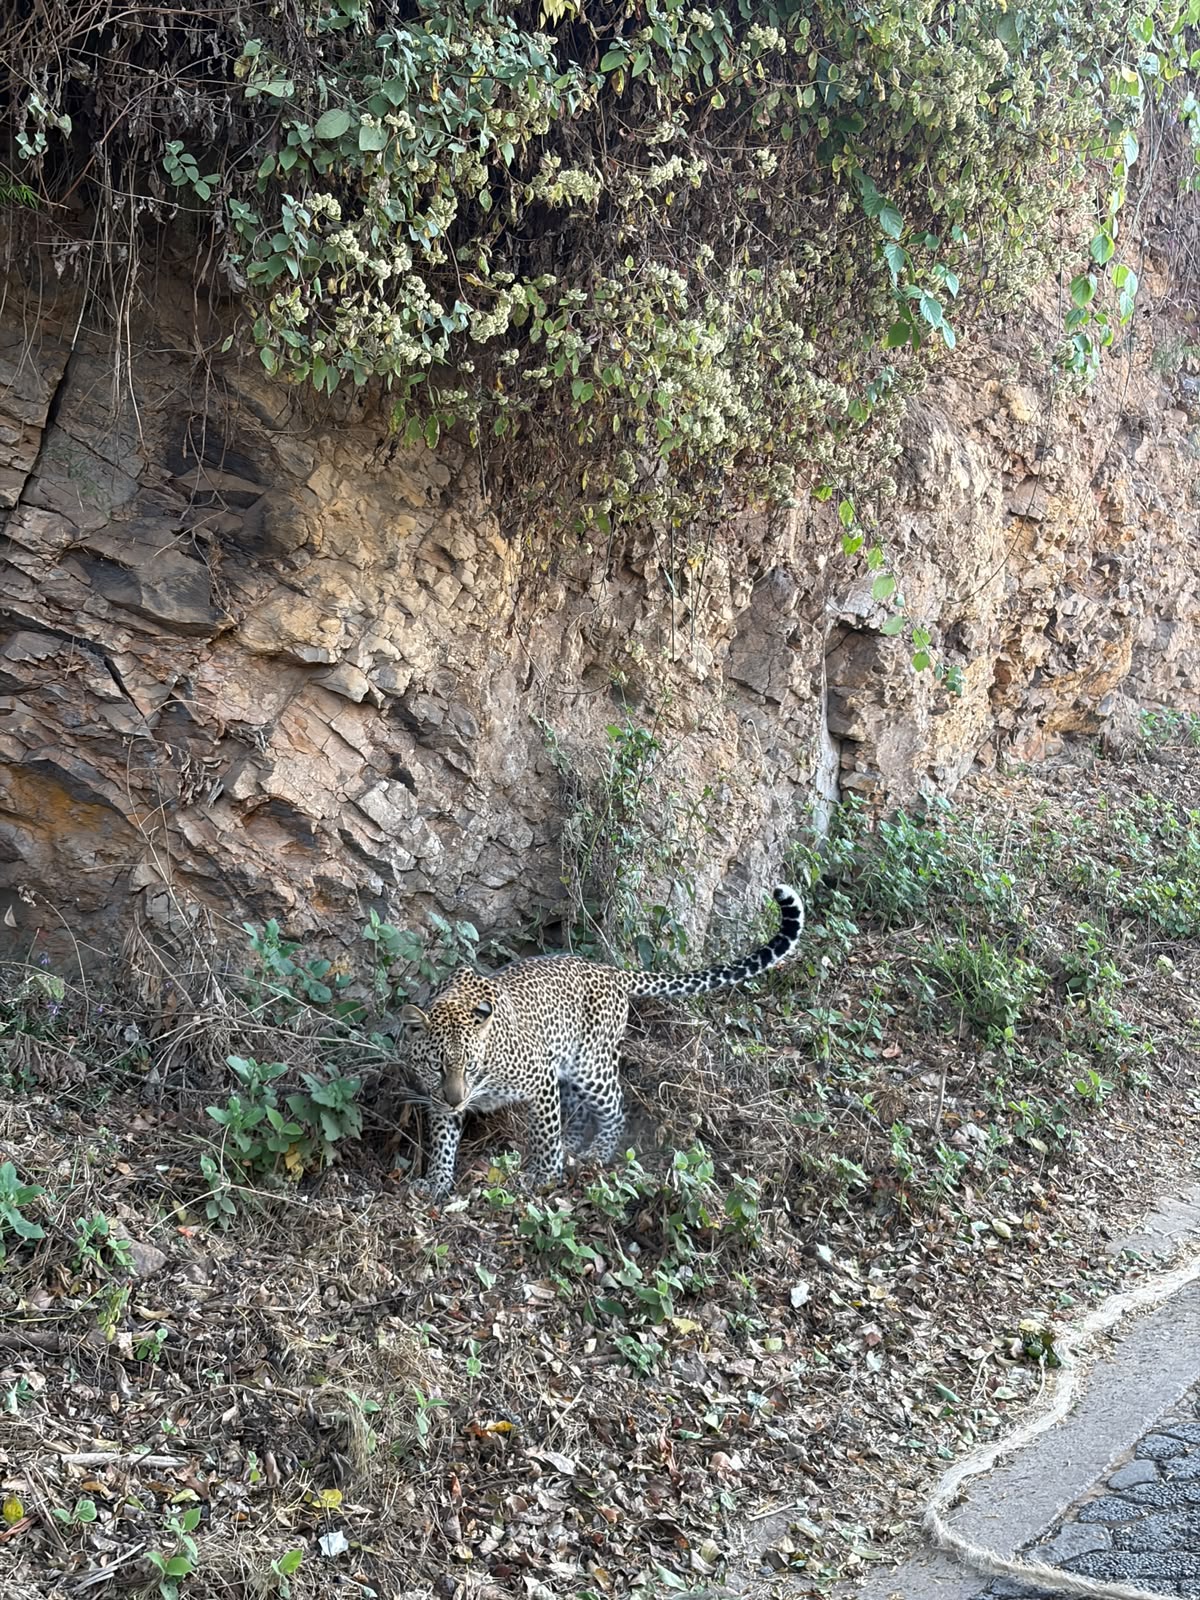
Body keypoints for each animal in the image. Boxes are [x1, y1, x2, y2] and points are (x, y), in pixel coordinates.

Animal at [401, 881, 804, 1198]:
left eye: (471, 1065)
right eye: (436, 1066)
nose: (457, 1100)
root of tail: (608, 970)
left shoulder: (539, 1076)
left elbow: (543, 1131)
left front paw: (544, 1174)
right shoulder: (440, 1099)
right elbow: (443, 1140)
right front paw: (436, 1182)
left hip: (590, 1066)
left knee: (615, 1108)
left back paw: (596, 1152)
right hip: (568, 1066)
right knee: (578, 1110)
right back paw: (572, 1143)